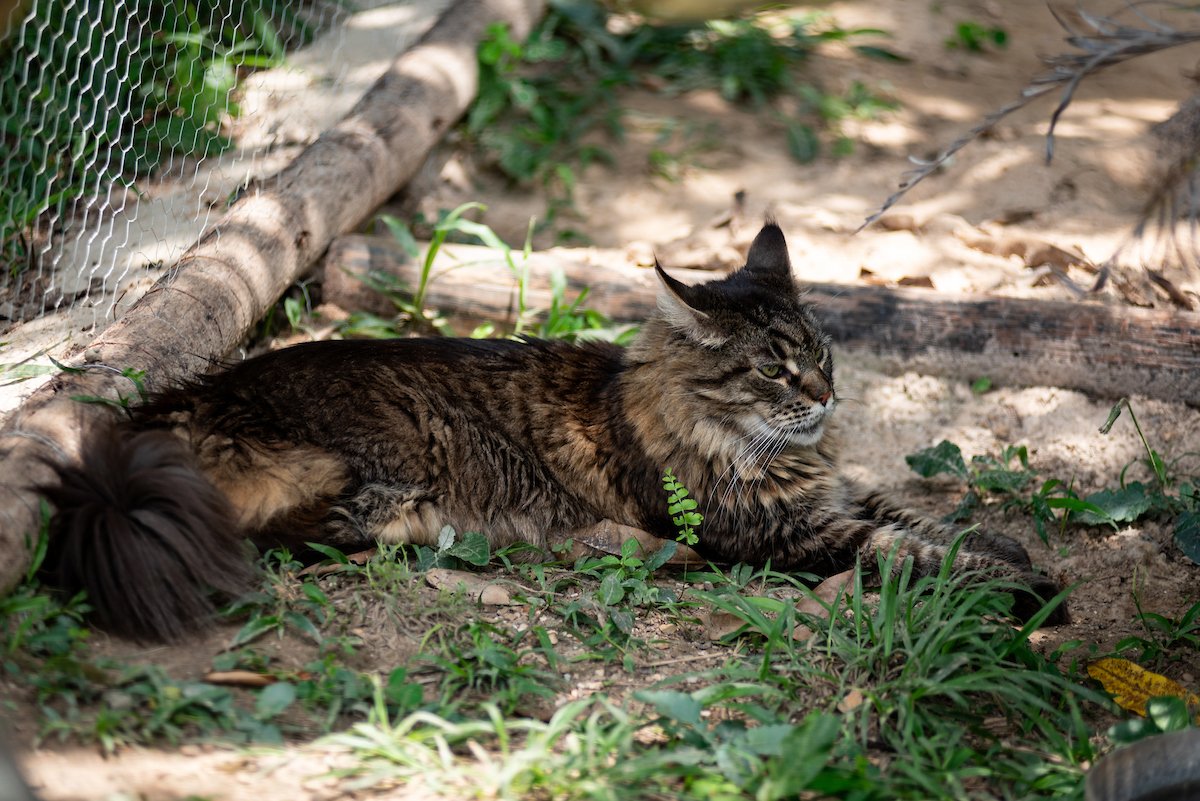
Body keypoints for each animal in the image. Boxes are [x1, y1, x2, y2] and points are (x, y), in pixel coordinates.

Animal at [42, 221, 1065, 642]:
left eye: (821, 350)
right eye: (774, 368)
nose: (824, 394)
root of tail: (172, 408)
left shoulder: (836, 491)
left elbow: (930, 517)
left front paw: (1009, 547)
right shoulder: (783, 529)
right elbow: (906, 549)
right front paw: (1032, 589)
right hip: (385, 456)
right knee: (304, 537)